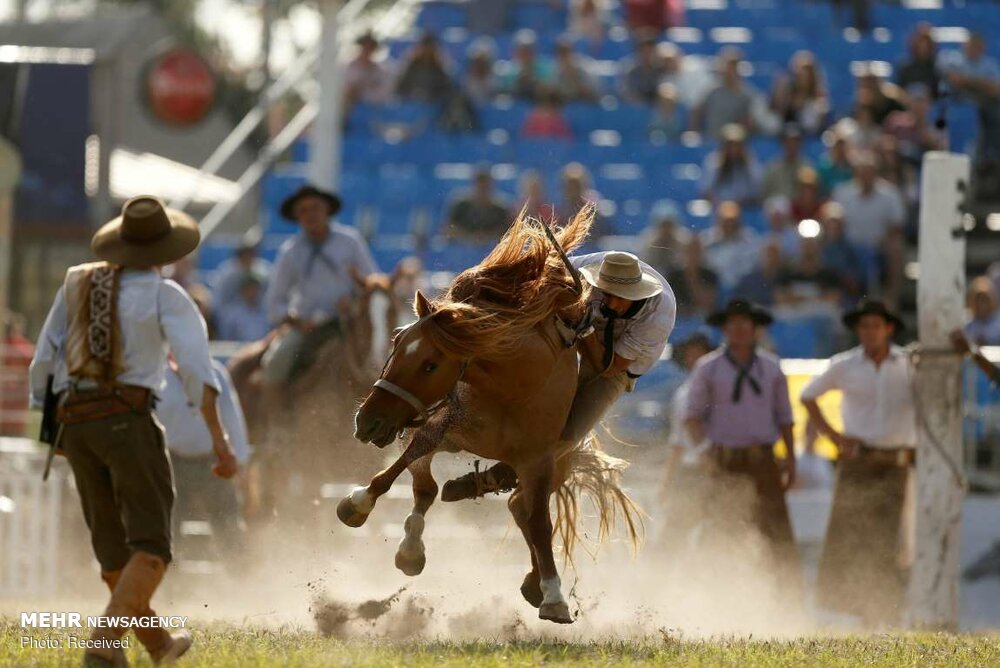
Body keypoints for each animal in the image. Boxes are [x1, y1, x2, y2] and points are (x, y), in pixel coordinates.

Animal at [336, 210, 636, 628]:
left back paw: (533, 579)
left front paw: (555, 596)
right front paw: (358, 506)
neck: (511, 386)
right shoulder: (439, 424)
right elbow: (404, 472)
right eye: (397, 341)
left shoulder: (539, 460)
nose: (369, 422)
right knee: (440, 489)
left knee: (522, 509)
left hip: (557, 462)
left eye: (431, 364)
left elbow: (541, 523)